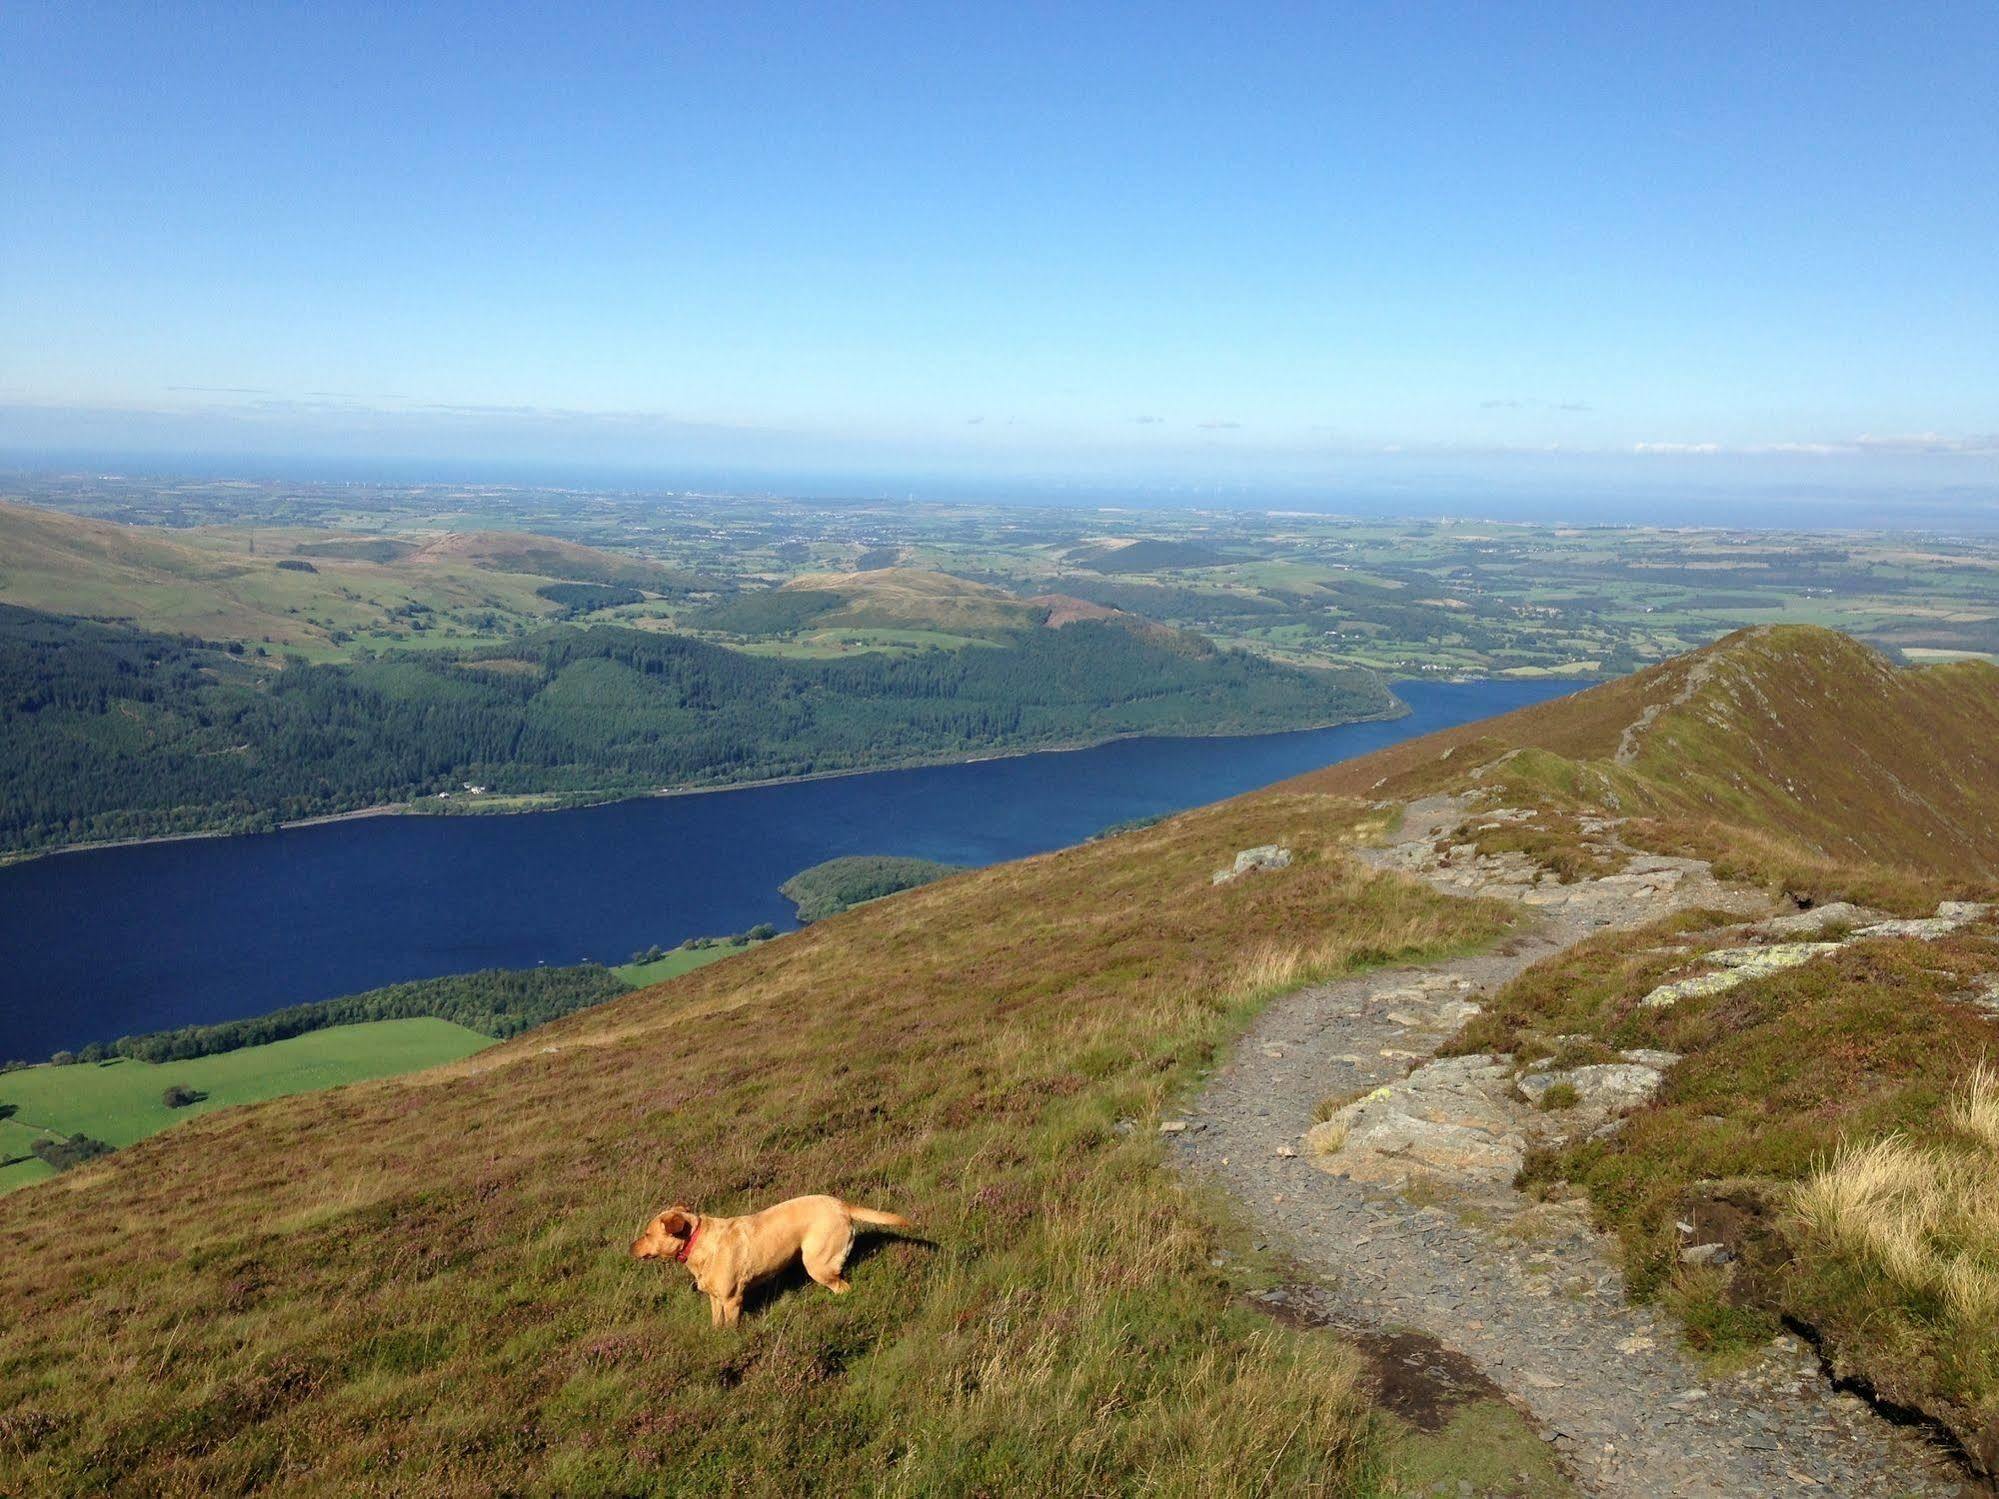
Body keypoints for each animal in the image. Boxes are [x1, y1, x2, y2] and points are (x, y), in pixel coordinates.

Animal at [631, 1199, 915, 1327]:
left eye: (647, 1234)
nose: (630, 1246)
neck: (698, 1242)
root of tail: (841, 1204)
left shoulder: (732, 1299)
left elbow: (731, 1327)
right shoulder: (715, 1299)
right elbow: (716, 1324)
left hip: (817, 1264)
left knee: (843, 1288)